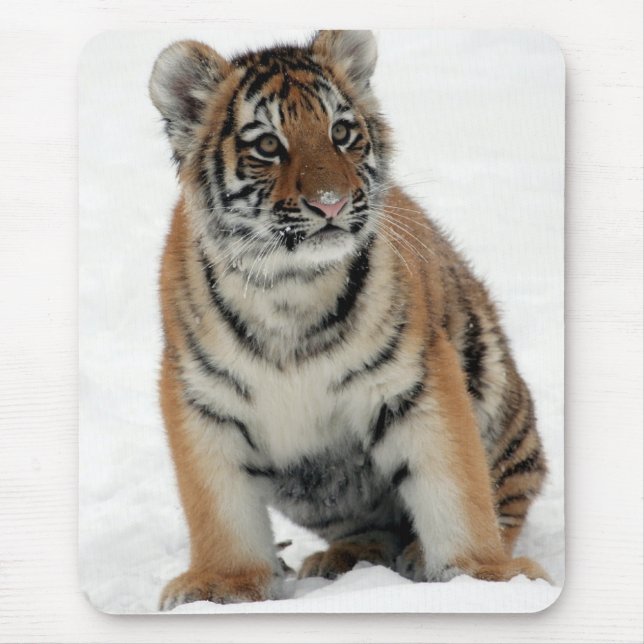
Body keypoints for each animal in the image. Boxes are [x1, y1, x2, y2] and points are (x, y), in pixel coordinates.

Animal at [148, 30, 549, 610]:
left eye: (341, 133)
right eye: (267, 145)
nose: (331, 204)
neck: (289, 287)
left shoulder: (417, 382)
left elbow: (455, 486)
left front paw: (484, 579)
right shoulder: (202, 398)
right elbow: (218, 507)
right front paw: (222, 586)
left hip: (496, 395)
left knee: (503, 499)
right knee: (369, 525)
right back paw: (347, 558)